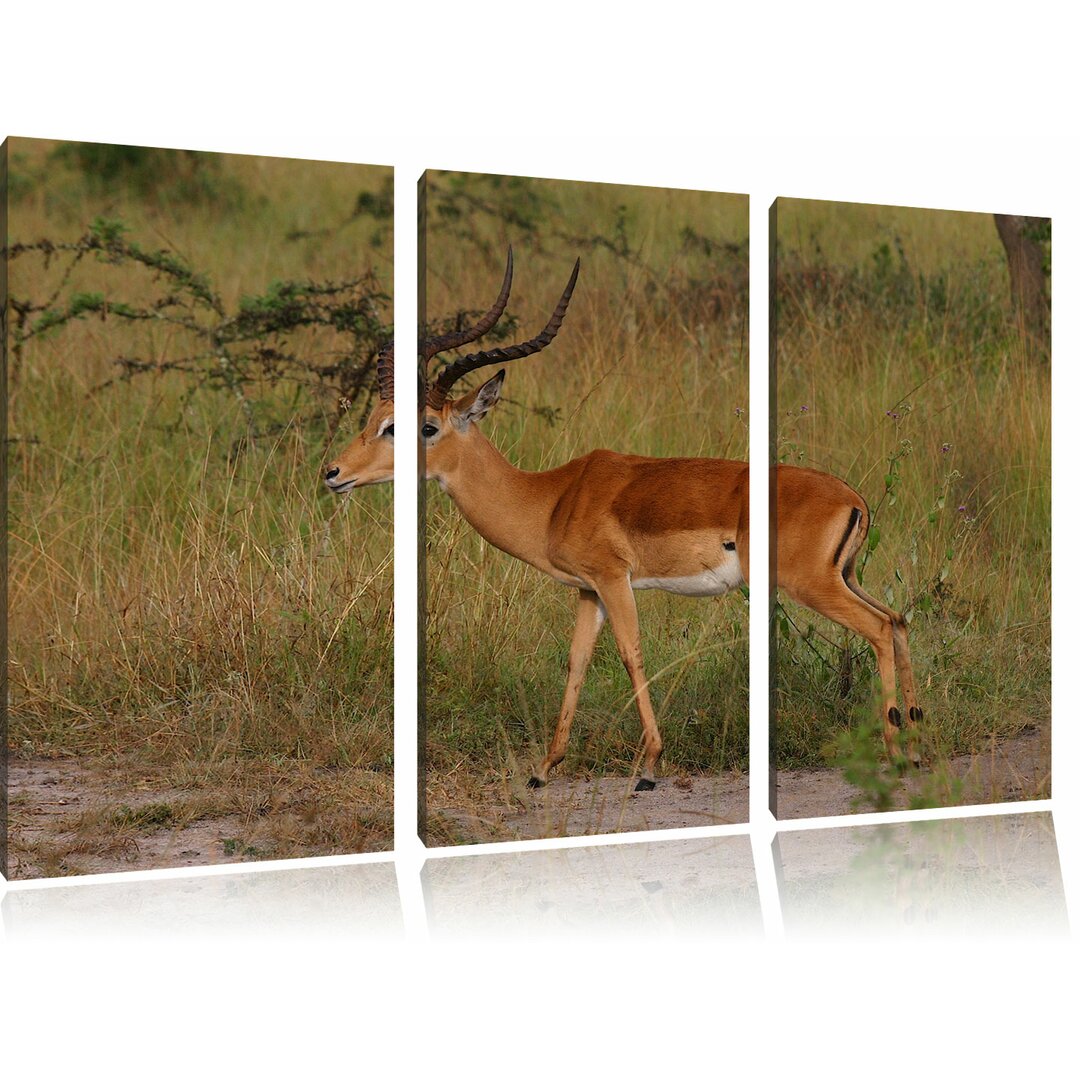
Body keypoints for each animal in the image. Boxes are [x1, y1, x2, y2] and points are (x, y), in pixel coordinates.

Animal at [321, 252, 920, 794]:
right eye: (374, 418)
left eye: (421, 427)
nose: (332, 473)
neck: (553, 498)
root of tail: (854, 497)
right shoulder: (588, 591)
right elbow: (576, 661)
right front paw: (543, 768)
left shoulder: (614, 579)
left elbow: (632, 654)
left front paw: (649, 768)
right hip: (846, 577)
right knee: (897, 620)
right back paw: (915, 745)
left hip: (810, 584)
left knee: (877, 629)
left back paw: (895, 755)